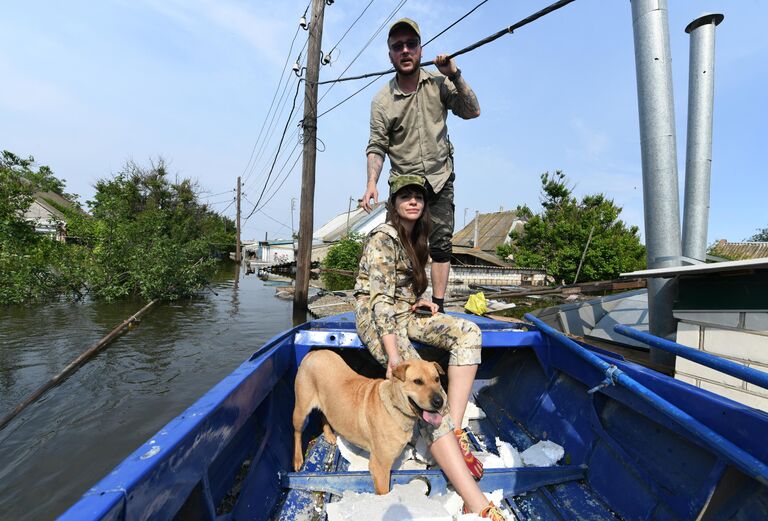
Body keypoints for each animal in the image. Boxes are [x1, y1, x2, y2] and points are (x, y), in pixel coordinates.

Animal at [292, 350, 448, 492]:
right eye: (418, 381)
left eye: (437, 379)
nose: (440, 401)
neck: (394, 406)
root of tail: (314, 352)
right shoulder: (379, 467)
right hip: (301, 409)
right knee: (297, 432)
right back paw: (298, 459)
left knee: (324, 415)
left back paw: (329, 435)